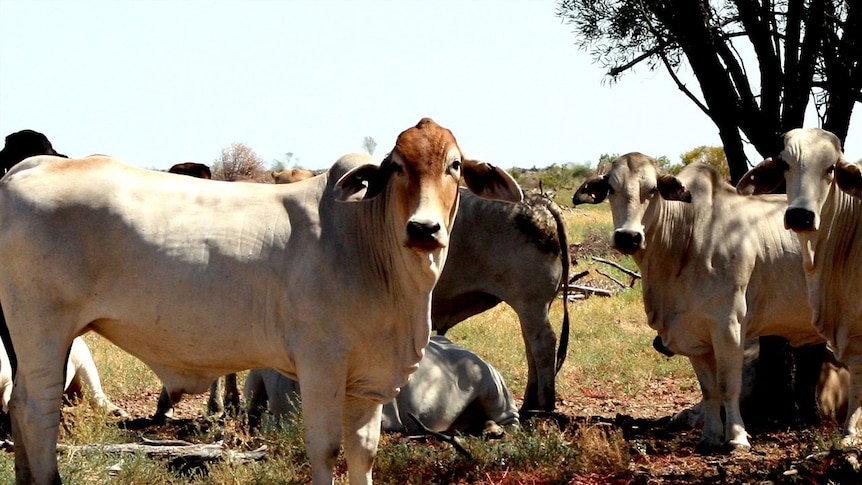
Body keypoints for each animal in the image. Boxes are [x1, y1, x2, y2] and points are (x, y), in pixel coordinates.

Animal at [572, 156, 824, 450]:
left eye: (652, 190)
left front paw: (736, 437)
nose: (628, 236)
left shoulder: (729, 325)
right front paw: (710, 437)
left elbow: (728, 385)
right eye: (611, 189)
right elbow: (709, 389)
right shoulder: (693, 335)